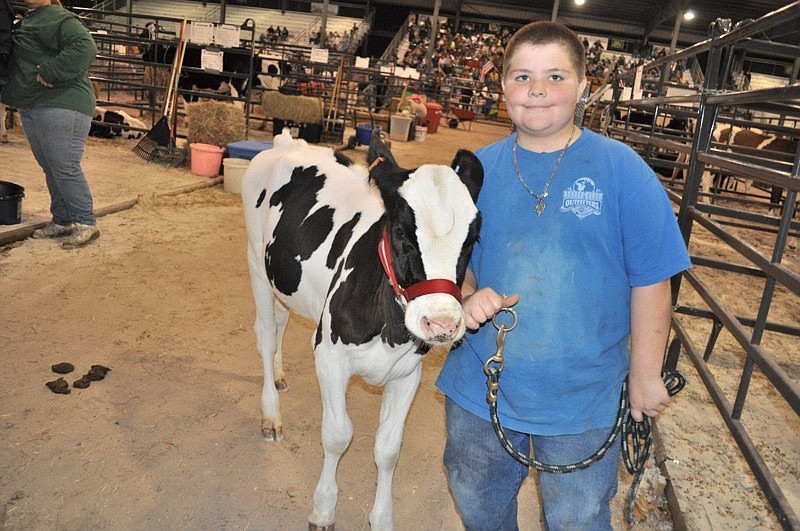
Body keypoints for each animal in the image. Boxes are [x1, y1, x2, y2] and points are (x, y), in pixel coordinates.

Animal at [241, 130, 483, 530]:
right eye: (399, 231)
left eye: (472, 240)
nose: (442, 324)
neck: (389, 329)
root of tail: (286, 142)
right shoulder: (329, 356)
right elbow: (338, 435)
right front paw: (323, 508)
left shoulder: (408, 374)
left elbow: (388, 448)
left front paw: (382, 517)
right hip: (257, 265)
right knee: (265, 335)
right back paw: (271, 415)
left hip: (286, 282)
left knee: (280, 322)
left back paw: (278, 375)